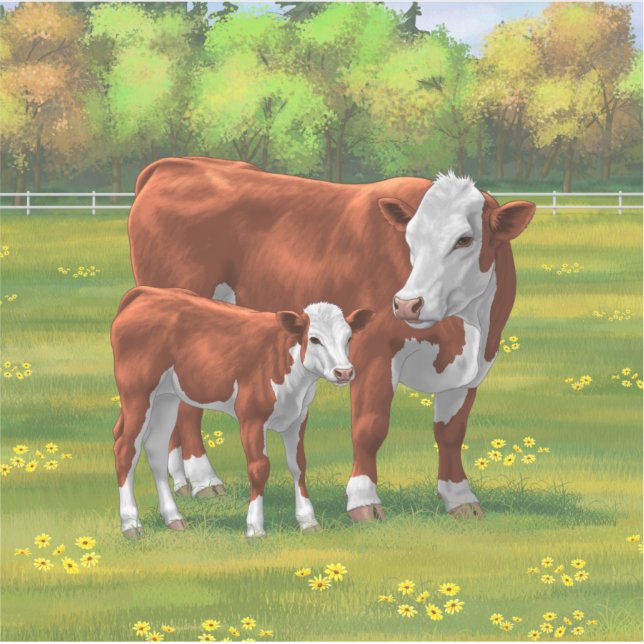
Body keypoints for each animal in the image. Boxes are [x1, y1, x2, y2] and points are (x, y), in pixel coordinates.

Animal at [111, 285, 373, 538]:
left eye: (349, 337)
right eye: (315, 339)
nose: (344, 372)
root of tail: (146, 293)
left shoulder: (298, 417)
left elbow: (298, 465)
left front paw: (308, 521)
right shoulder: (251, 417)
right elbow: (259, 468)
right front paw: (255, 528)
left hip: (166, 397)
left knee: (155, 448)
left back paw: (173, 518)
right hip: (137, 392)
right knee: (125, 448)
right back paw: (131, 524)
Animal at [128, 158, 535, 522]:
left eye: (465, 240)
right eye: (410, 239)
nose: (407, 303)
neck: (464, 331)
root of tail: (177, 164)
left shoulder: (474, 366)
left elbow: (450, 433)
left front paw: (460, 499)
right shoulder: (372, 352)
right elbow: (370, 427)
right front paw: (363, 501)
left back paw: (183, 481)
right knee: (188, 410)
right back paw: (204, 480)